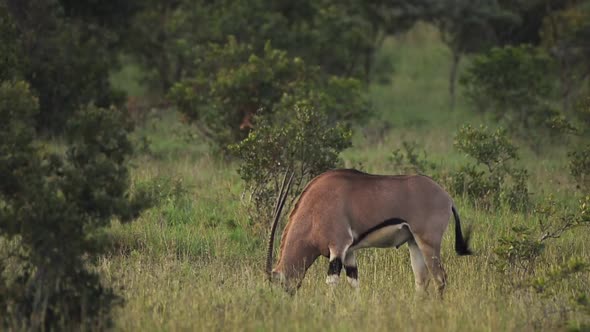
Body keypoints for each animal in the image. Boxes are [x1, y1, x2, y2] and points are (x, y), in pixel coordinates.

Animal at [266, 169, 474, 296]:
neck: (313, 209)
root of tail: (447, 197)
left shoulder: (338, 247)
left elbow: (332, 282)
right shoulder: (349, 252)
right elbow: (354, 282)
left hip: (428, 242)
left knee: (440, 278)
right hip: (414, 243)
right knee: (421, 280)